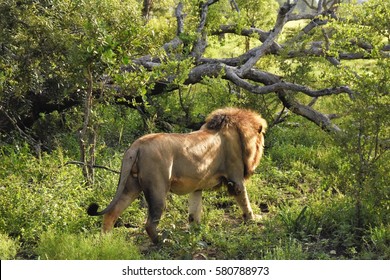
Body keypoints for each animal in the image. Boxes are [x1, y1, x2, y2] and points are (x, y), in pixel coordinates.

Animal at [87, 107, 266, 243]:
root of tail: (136, 146)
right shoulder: (235, 179)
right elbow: (245, 201)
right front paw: (253, 219)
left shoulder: (197, 186)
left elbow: (194, 212)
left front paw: (196, 231)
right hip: (157, 189)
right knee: (149, 224)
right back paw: (163, 241)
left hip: (131, 185)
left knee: (111, 213)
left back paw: (106, 241)